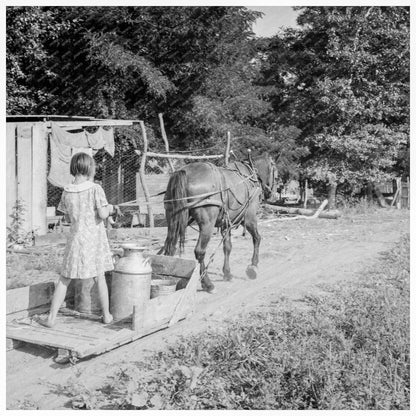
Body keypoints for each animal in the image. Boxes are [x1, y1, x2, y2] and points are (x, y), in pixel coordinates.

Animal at [161, 153, 274, 292]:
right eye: (275, 173)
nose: (270, 193)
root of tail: (184, 172)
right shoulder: (249, 218)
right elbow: (257, 238)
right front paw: (253, 266)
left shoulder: (226, 223)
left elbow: (227, 247)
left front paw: (227, 273)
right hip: (207, 224)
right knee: (200, 252)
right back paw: (207, 283)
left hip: (173, 218)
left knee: (170, 247)